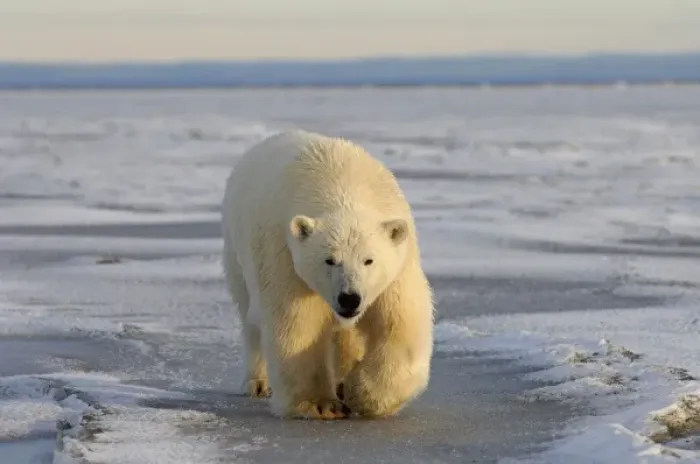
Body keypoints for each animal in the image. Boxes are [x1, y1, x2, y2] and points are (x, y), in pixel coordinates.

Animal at [221, 130, 434, 420]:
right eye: (329, 260)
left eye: (369, 260)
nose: (349, 298)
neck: (340, 184)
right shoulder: (285, 257)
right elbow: (298, 326)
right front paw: (321, 404)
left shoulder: (398, 265)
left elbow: (401, 325)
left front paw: (362, 393)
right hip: (238, 254)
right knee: (251, 319)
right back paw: (257, 382)